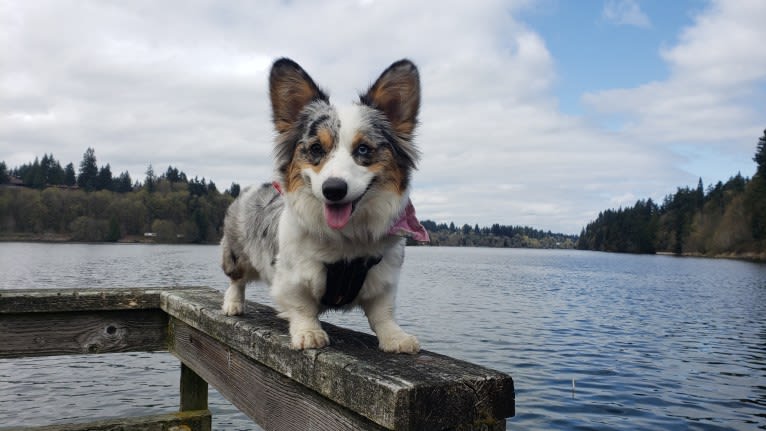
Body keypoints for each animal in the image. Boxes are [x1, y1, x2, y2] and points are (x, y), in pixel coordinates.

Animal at [219, 58, 428, 354]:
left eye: (363, 149)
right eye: (316, 148)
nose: (334, 190)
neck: (348, 238)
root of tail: (251, 189)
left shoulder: (384, 278)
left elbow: (382, 312)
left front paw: (396, 338)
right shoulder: (291, 278)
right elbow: (301, 307)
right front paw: (309, 333)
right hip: (237, 254)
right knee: (236, 280)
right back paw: (233, 304)